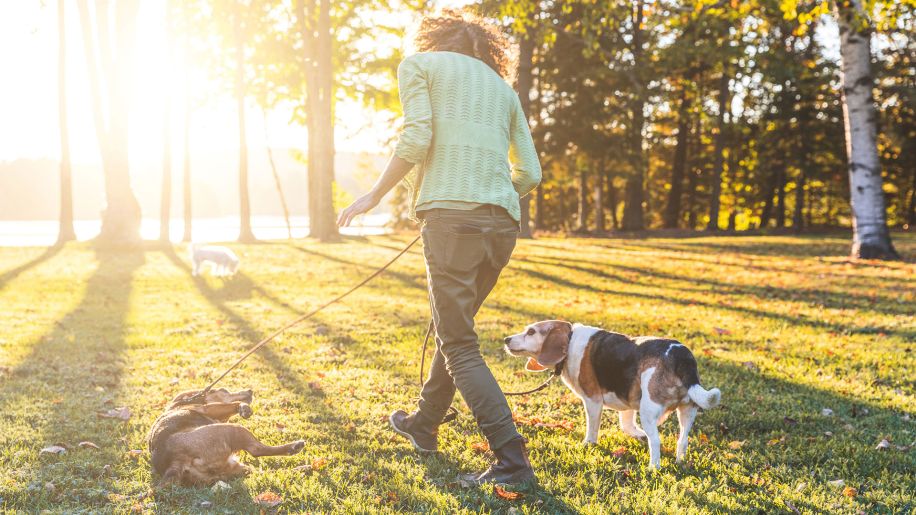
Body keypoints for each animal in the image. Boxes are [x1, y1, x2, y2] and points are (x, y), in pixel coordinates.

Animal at [149, 388, 304, 488]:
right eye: (225, 391)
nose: (250, 391)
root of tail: (176, 462)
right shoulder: (208, 408)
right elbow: (233, 405)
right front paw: (243, 408)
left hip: (235, 467)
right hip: (233, 429)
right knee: (256, 449)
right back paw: (294, 447)